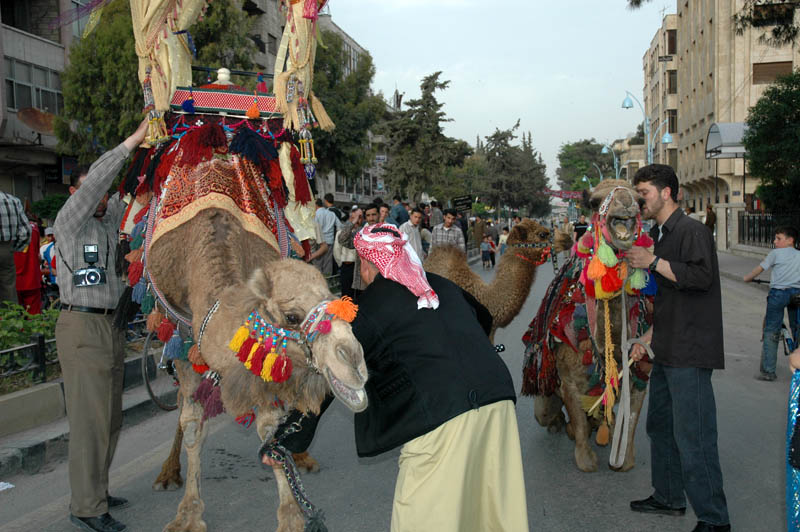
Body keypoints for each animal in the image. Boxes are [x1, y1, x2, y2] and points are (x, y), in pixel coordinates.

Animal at [520, 180, 656, 474]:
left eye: (641, 201)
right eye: (594, 202)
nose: (626, 202)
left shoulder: (639, 370)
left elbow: (632, 415)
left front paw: (624, 460)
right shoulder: (569, 379)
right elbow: (579, 420)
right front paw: (586, 461)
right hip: (544, 397)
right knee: (548, 415)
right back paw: (564, 426)